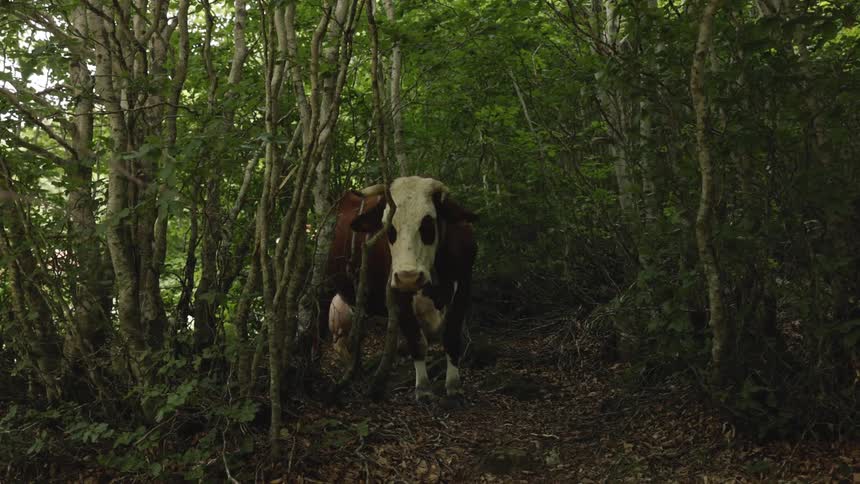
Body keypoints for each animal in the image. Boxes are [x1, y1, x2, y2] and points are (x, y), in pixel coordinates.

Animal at [323, 176, 478, 403]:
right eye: (388, 228)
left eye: (428, 223)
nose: (408, 277)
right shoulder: (398, 297)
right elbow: (417, 341)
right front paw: (423, 388)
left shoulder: (464, 287)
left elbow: (451, 337)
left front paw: (454, 385)